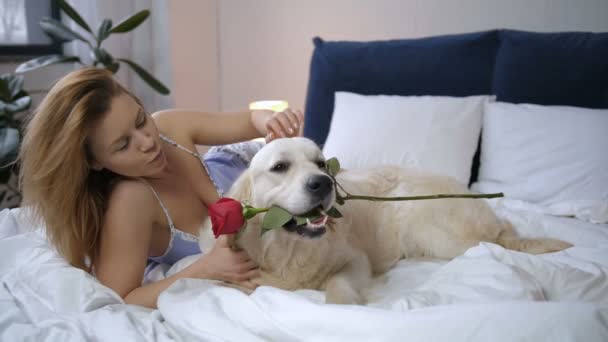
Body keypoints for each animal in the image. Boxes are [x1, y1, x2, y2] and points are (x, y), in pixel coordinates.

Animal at [198, 138, 568, 304]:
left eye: (321, 163)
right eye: (280, 167)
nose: (323, 183)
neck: (289, 249)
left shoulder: (355, 259)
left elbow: (338, 284)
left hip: (429, 225)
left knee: (499, 238)